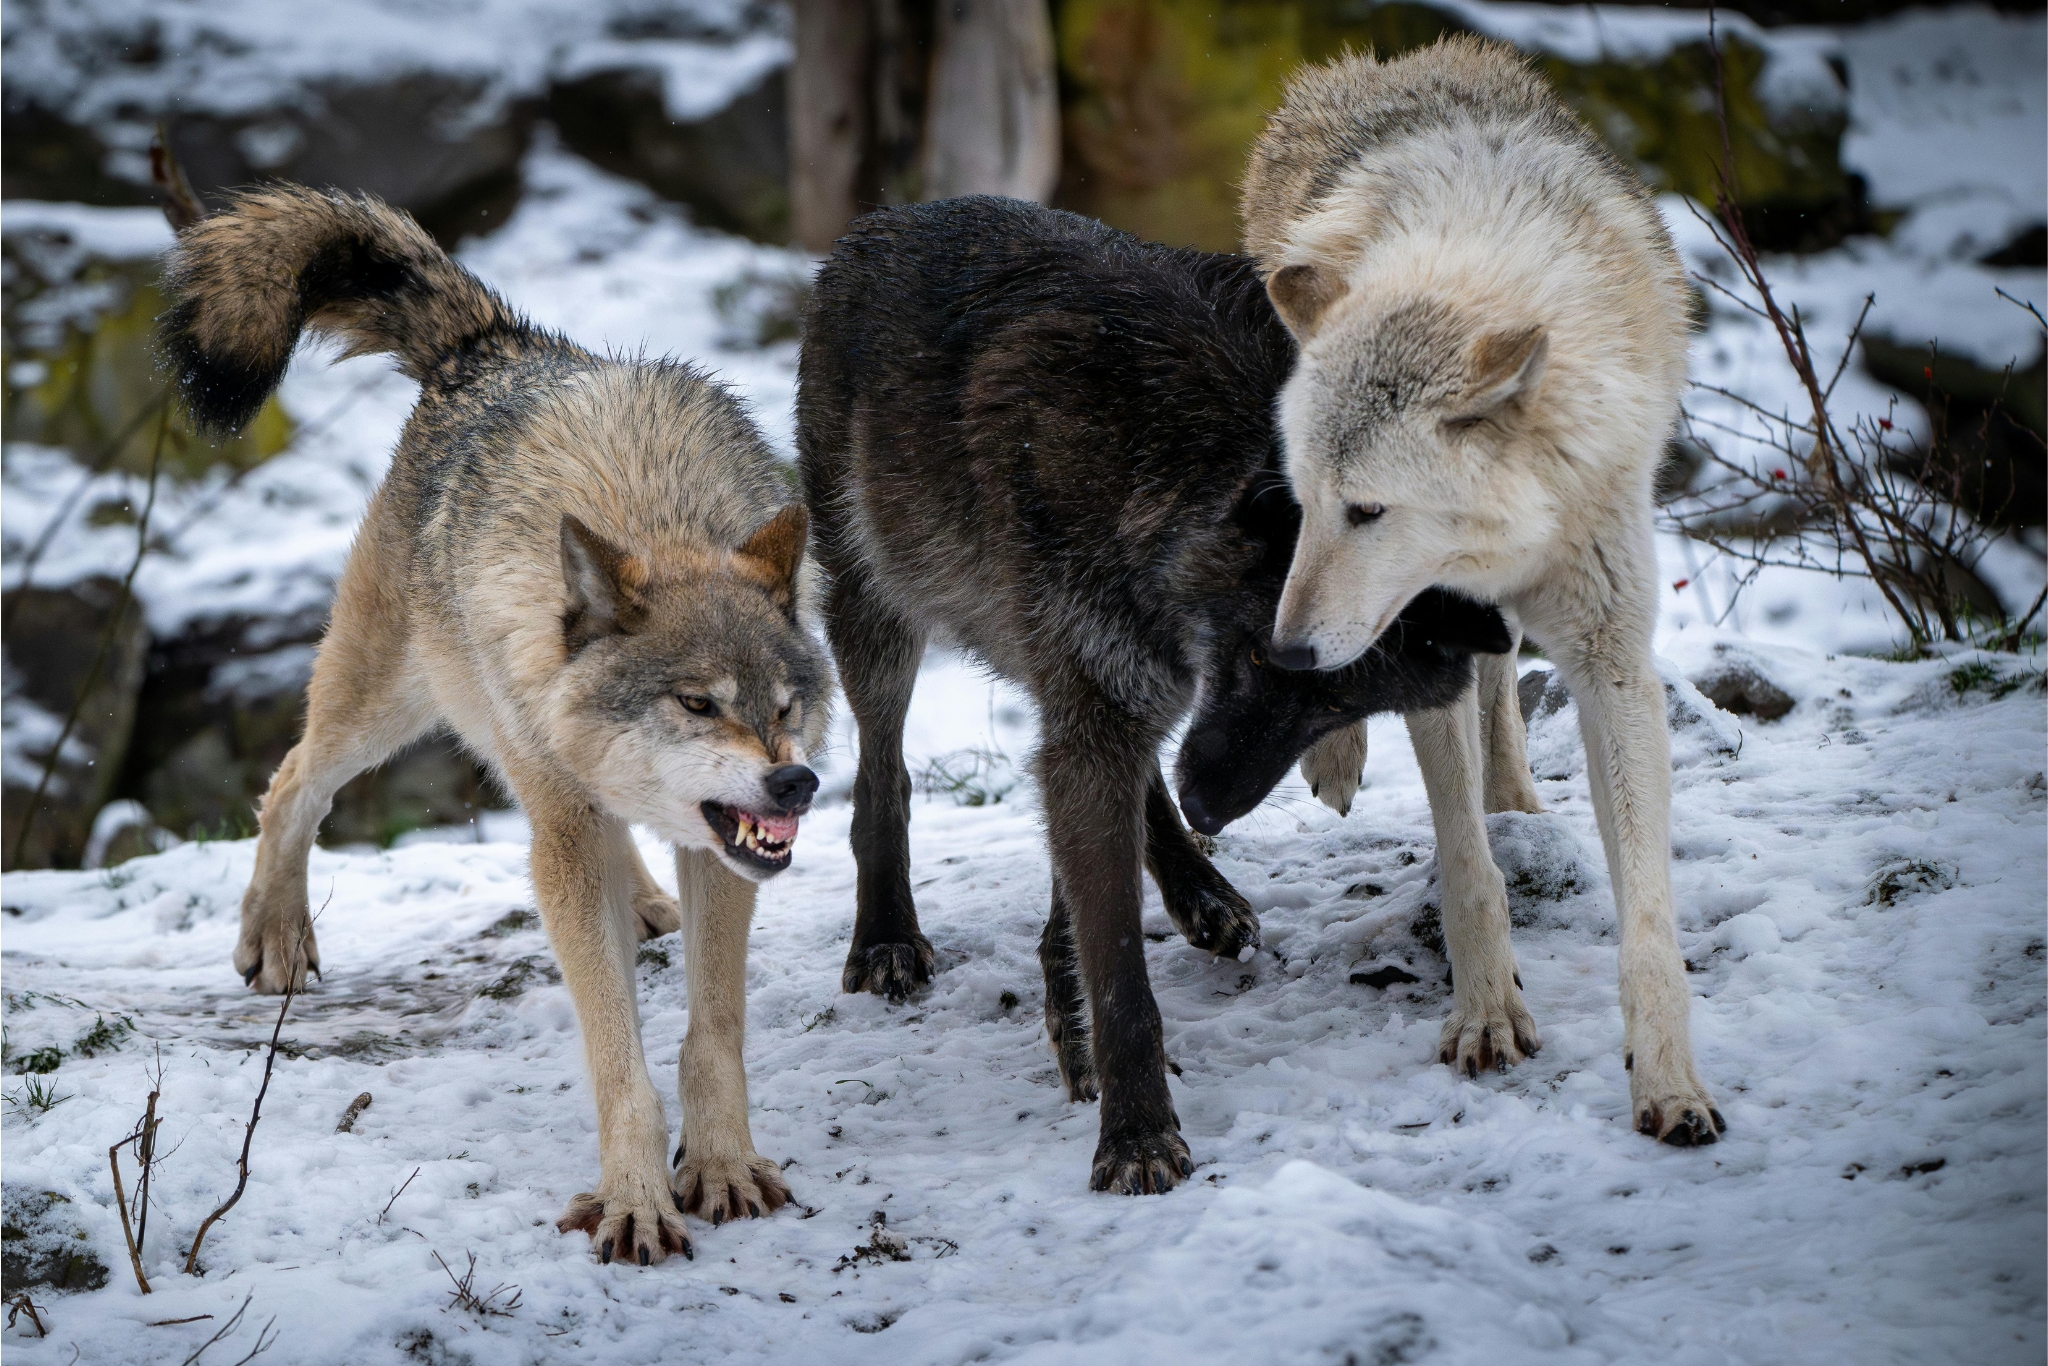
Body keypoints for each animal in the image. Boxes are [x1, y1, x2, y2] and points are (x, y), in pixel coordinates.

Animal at [159, 184, 832, 1263]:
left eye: (784, 706)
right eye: (696, 703)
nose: (795, 783)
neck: (654, 516)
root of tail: (492, 341)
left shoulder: (719, 848)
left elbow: (712, 1032)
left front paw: (722, 1166)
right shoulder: (568, 822)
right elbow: (617, 1054)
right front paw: (637, 1197)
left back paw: (642, 901)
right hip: (391, 700)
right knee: (292, 780)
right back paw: (277, 934)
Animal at [799, 194, 1507, 1193]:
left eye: (1337, 708)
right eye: (1265, 659)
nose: (1213, 804)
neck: (1172, 456)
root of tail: (889, 219)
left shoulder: (1118, 698)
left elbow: (1092, 903)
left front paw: (1080, 1021)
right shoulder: (1097, 708)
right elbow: (1118, 966)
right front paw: (1134, 1131)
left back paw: (1199, 889)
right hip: (881, 610)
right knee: (882, 775)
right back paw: (887, 937)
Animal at [1242, 38, 1724, 1144]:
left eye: (1369, 511)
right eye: (1309, 504)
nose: (1284, 653)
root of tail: (1386, 60)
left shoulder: (1613, 659)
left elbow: (1648, 914)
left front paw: (1669, 1082)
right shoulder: (1424, 644)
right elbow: (1466, 870)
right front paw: (1485, 1015)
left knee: (1505, 695)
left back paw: (1516, 797)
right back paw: (1339, 754)